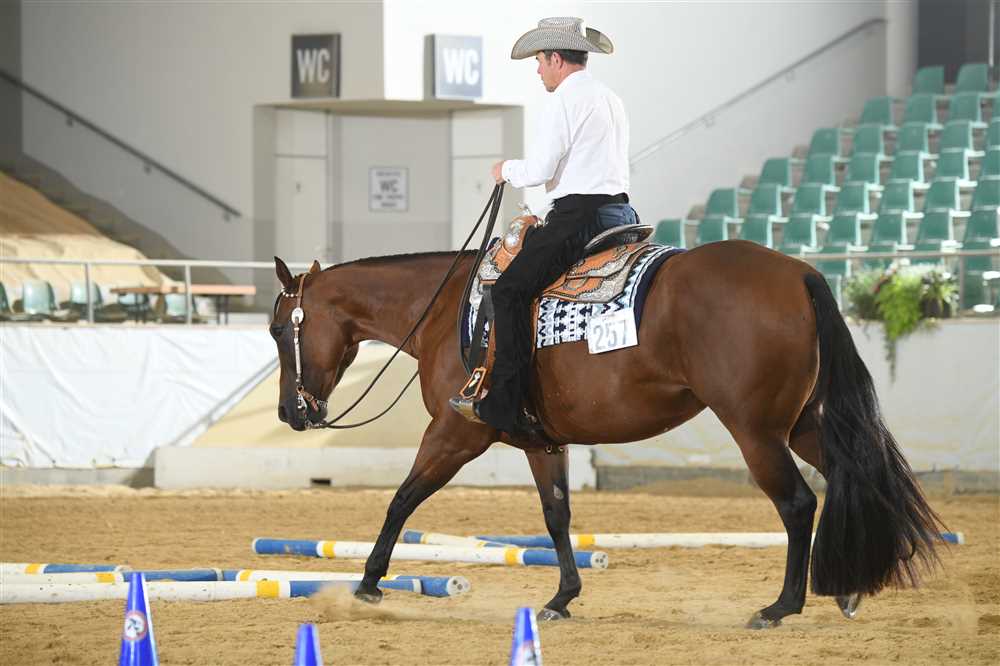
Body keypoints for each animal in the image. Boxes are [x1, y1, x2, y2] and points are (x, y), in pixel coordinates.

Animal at [269, 239, 943, 629]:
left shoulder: (457, 432)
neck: (445, 312)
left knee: (799, 504)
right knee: (858, 478)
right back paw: (851, 588)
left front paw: (366, 583)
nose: (290, 414)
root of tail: (800, 273)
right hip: (801, 423)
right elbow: (556, 515)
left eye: (280, 330)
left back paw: (781, 607)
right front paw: (562, 596)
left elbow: (402, 499)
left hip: (755, 431)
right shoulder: (543, 443)